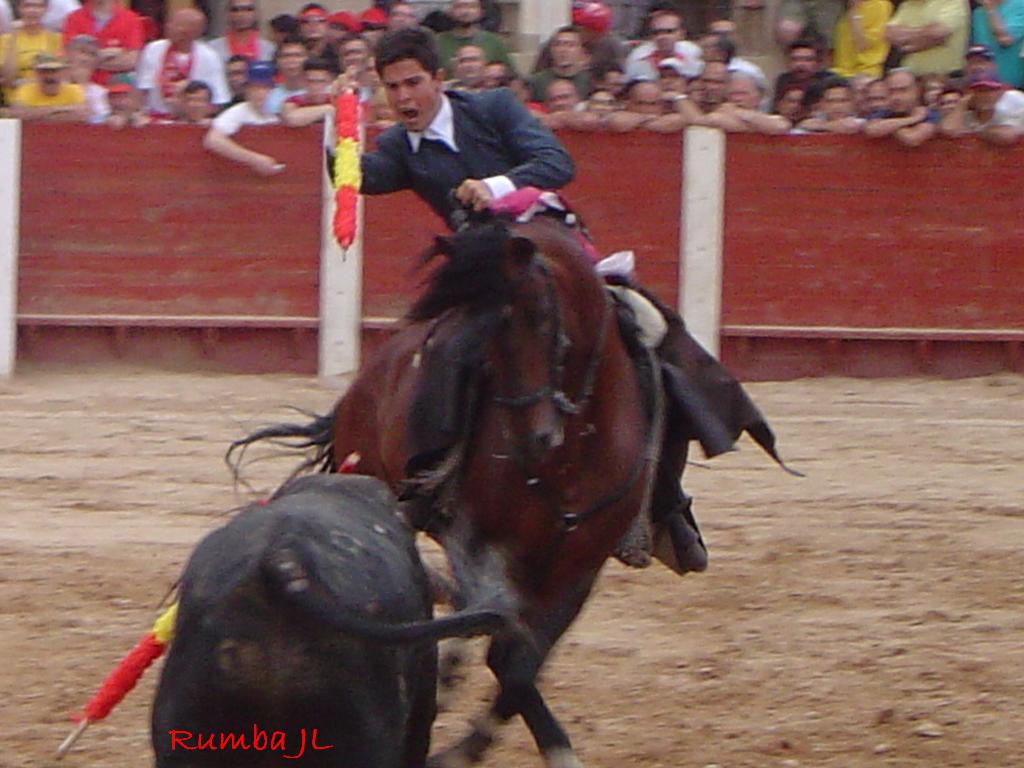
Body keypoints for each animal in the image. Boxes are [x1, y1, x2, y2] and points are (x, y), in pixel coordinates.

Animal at [232, 217, 663, 768]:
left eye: (542, 317)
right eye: (484, 339)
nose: (534, 439)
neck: (571, 456)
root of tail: (362, 383)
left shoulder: (580, 565)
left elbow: (523, 659)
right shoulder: (483, 541)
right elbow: (509, 652)